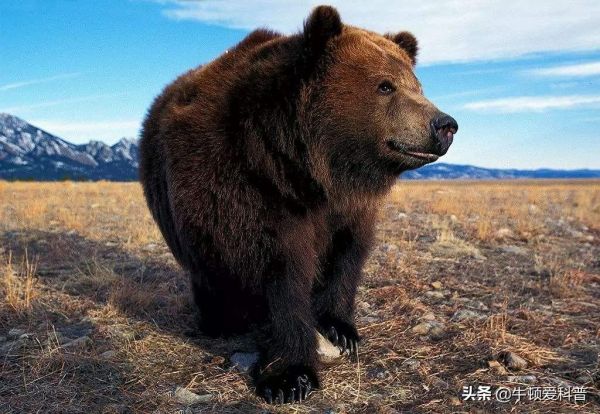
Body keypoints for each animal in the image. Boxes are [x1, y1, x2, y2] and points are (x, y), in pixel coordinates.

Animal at [138, 3, 458, 404]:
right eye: (385, 85)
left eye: (417, 86)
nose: (445, 125)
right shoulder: (246, 191)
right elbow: (280, 269)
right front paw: (290, 376)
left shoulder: (347, 209)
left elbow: (346, 256)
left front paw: (340, 330)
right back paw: (220, 320)